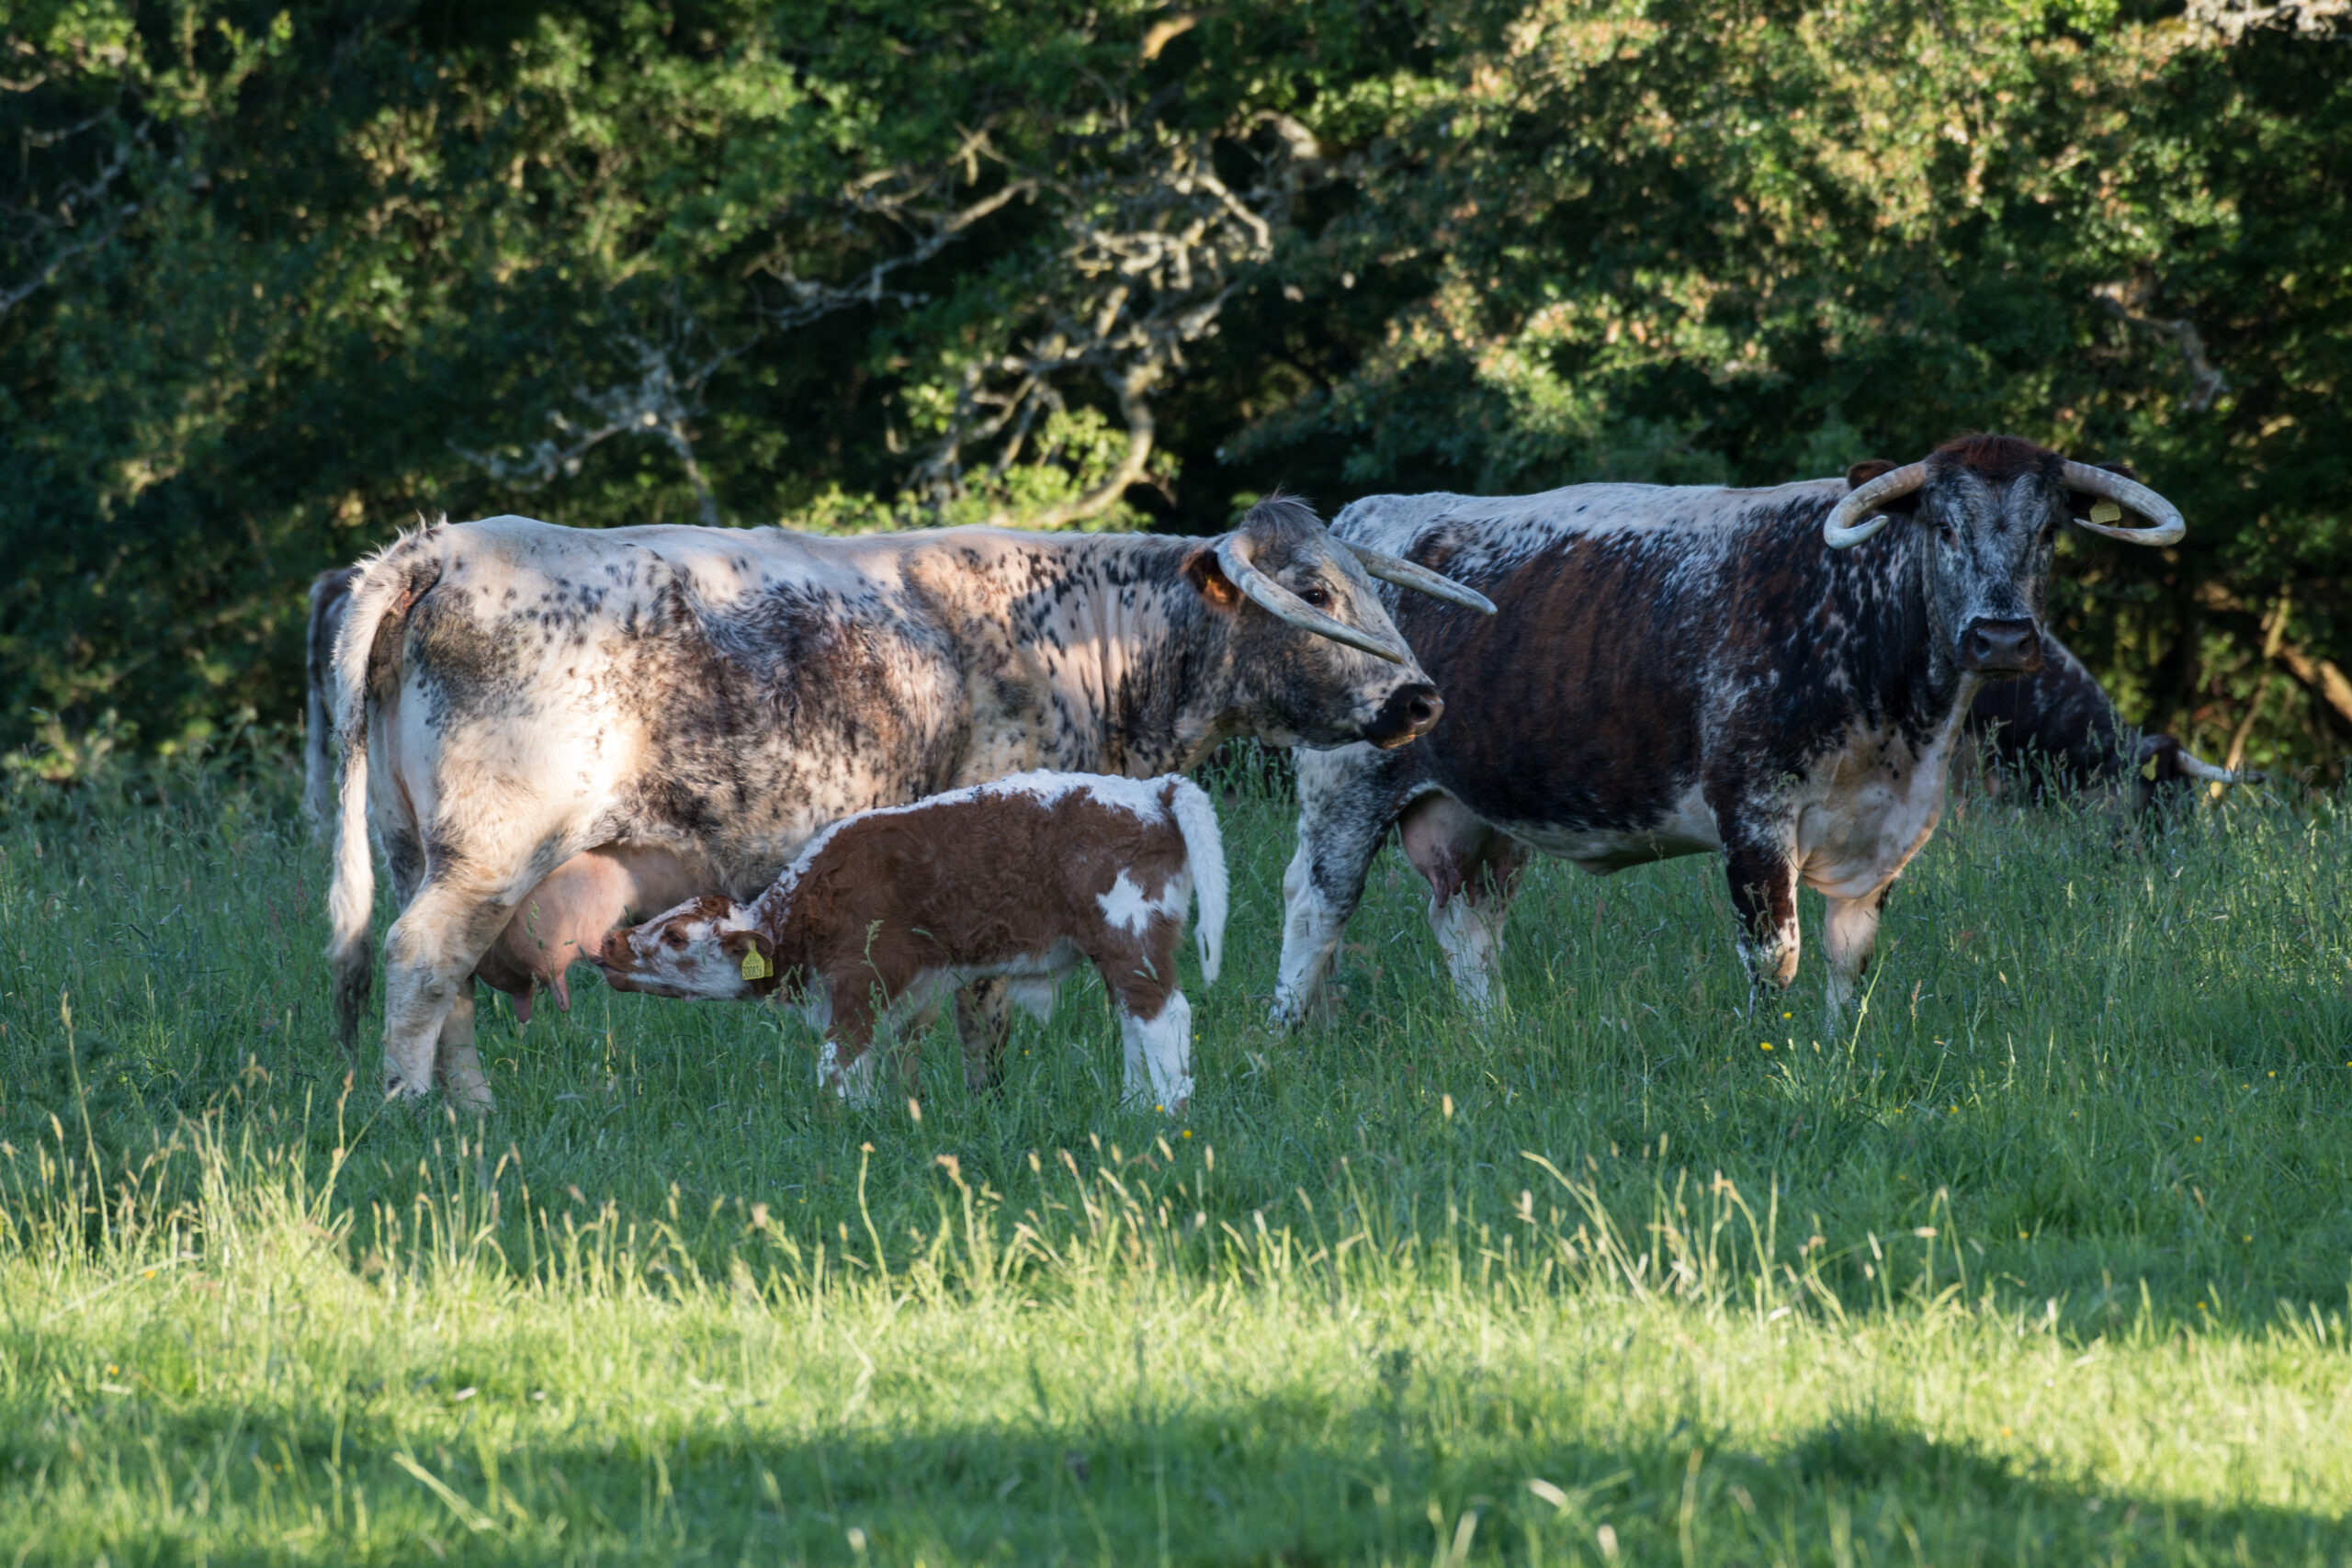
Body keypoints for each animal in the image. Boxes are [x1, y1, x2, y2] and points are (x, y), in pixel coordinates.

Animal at [597, 772, 1226, 1111]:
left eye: (675, 935)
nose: (611, 946)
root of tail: (1152, 789)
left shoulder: (860, 978)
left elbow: (839, 1062)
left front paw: (845, 1127)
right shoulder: (909, 994)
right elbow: (890, 1060)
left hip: (1132, 934)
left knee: (1163, 1017)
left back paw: (1165, 1115)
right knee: (1134, 1022)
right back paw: (1135, 1107)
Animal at [1270, 435, 2185, 1029]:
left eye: (2048, 531)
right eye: (1944, 526)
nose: (2000, 638)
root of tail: (1362, 520)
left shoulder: (1889, 831)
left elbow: (1851, 957)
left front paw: (1838, 1058)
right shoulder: (1753, 810)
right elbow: (1773, 952)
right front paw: (1769, 1060)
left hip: (1478, 811)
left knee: (1467, 920)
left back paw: (1494, 1038)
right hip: (1345, 786)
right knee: (1317, 905)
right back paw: (1284, 1038)